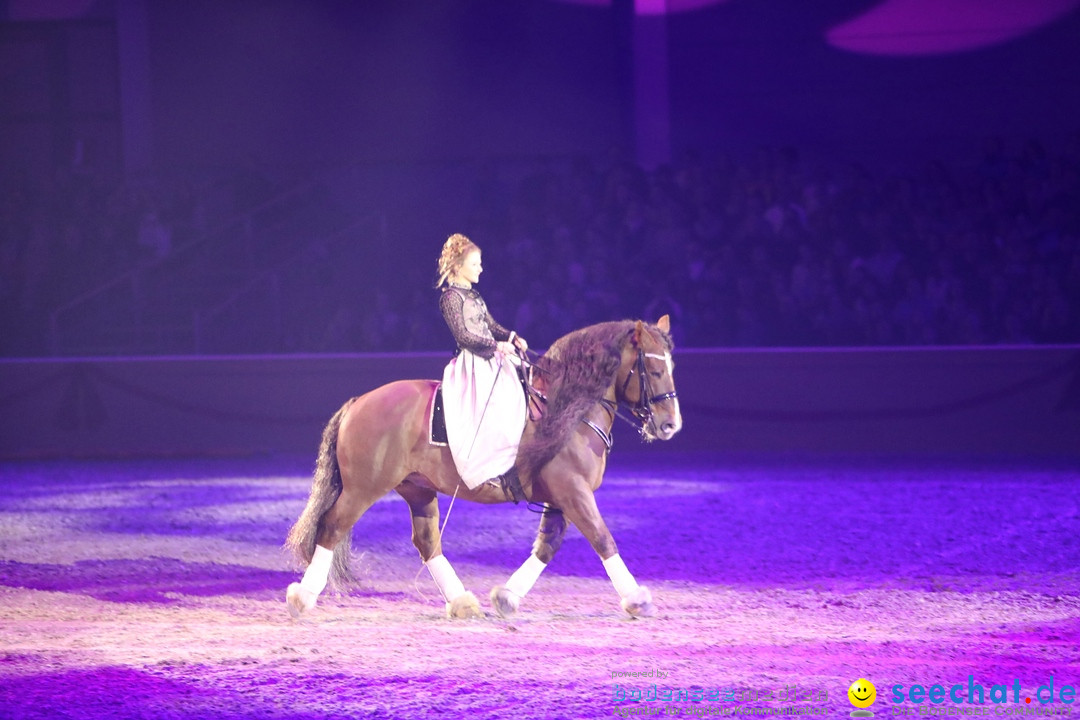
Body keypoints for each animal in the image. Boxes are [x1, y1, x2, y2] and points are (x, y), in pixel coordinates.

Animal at [282, 315, 678, 621]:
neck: (567, 409)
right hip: (364, 487)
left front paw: (507, 597)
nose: (670, 425)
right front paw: (637, 600)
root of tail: (357, 402)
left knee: (427, 542)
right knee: (332, 525)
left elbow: (547, 546)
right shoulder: (573, 491)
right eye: (654, 369)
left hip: (417, 488)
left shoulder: (562, 496)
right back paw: (302, 597)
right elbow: (602, 537)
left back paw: (461, 602)